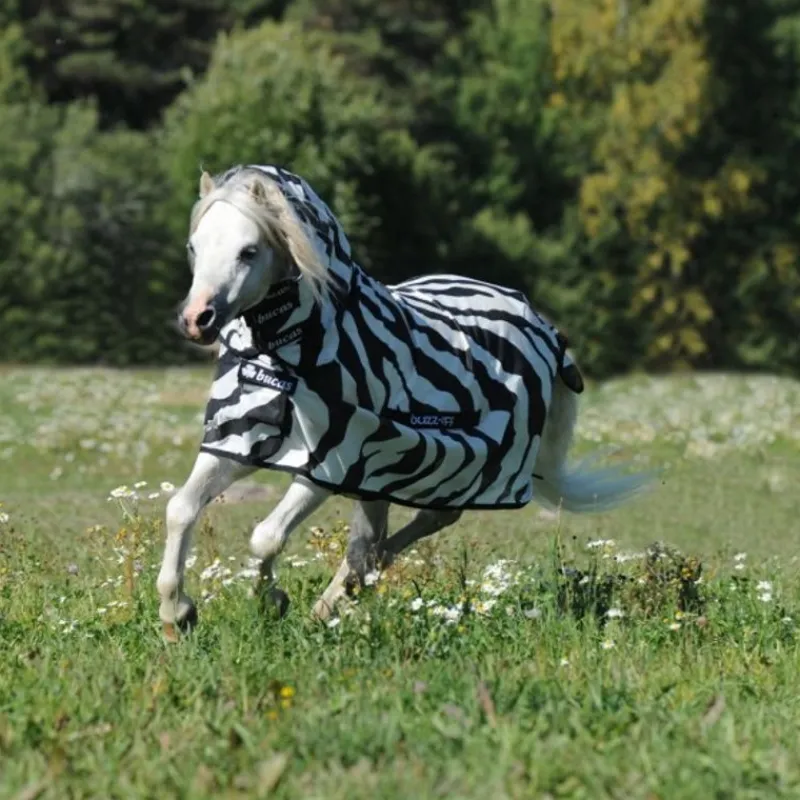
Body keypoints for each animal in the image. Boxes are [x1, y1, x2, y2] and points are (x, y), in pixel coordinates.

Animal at [156, 164, 655, 641]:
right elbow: (180, 509)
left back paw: (344, 592)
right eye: (194, 246)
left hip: (446, 463)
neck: (291, 349)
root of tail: (540, 326)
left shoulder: (331, 459)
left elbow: (266, 537)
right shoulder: (237, 438)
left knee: (419, 524)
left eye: (248, 251)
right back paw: (334, 602)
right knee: (375, 539)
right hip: (387, 470)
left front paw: (270, 601)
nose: (196, 320)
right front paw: (177, 614)